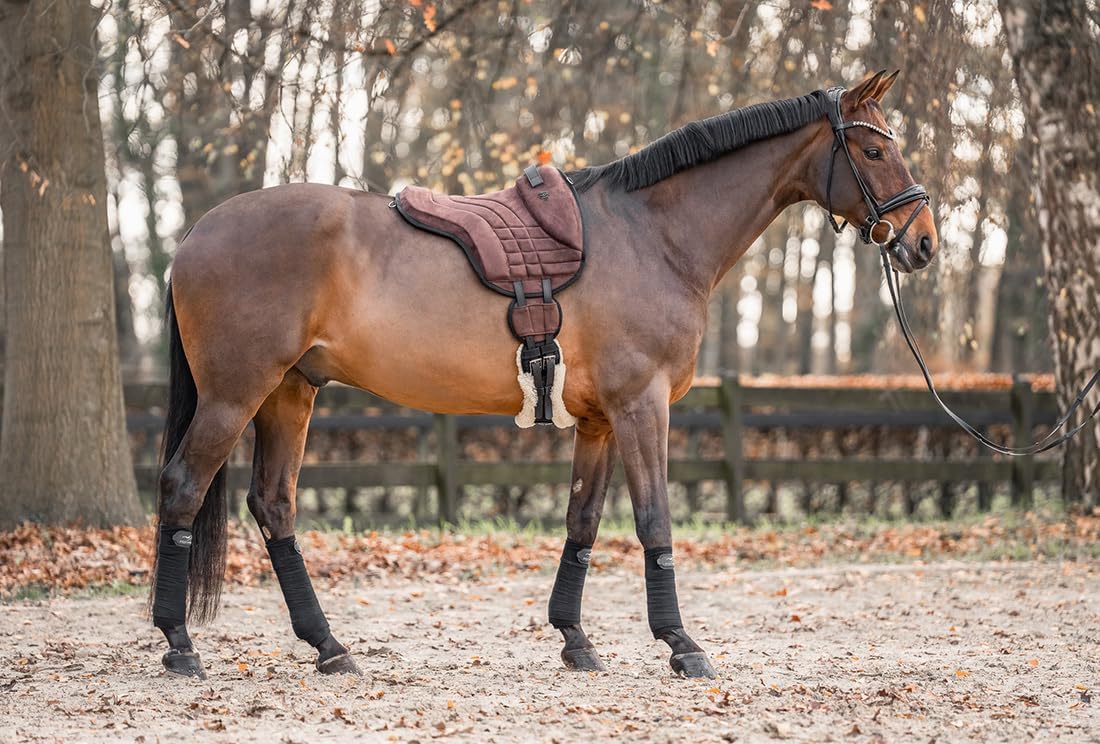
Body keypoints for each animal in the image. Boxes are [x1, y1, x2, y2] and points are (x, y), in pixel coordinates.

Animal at [150, 70, 937, 680]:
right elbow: (654, 519)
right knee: (184, 488)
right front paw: (681, 645)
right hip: (234, 395)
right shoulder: (643, 406)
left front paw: (575, 640)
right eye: (874, 149)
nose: (924, 243)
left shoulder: (599, 420)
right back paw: (181, 644)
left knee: (273, 506)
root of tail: (194, 233)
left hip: (289, 392)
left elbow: (582, 522)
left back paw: (329, 647)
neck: (651, 235)